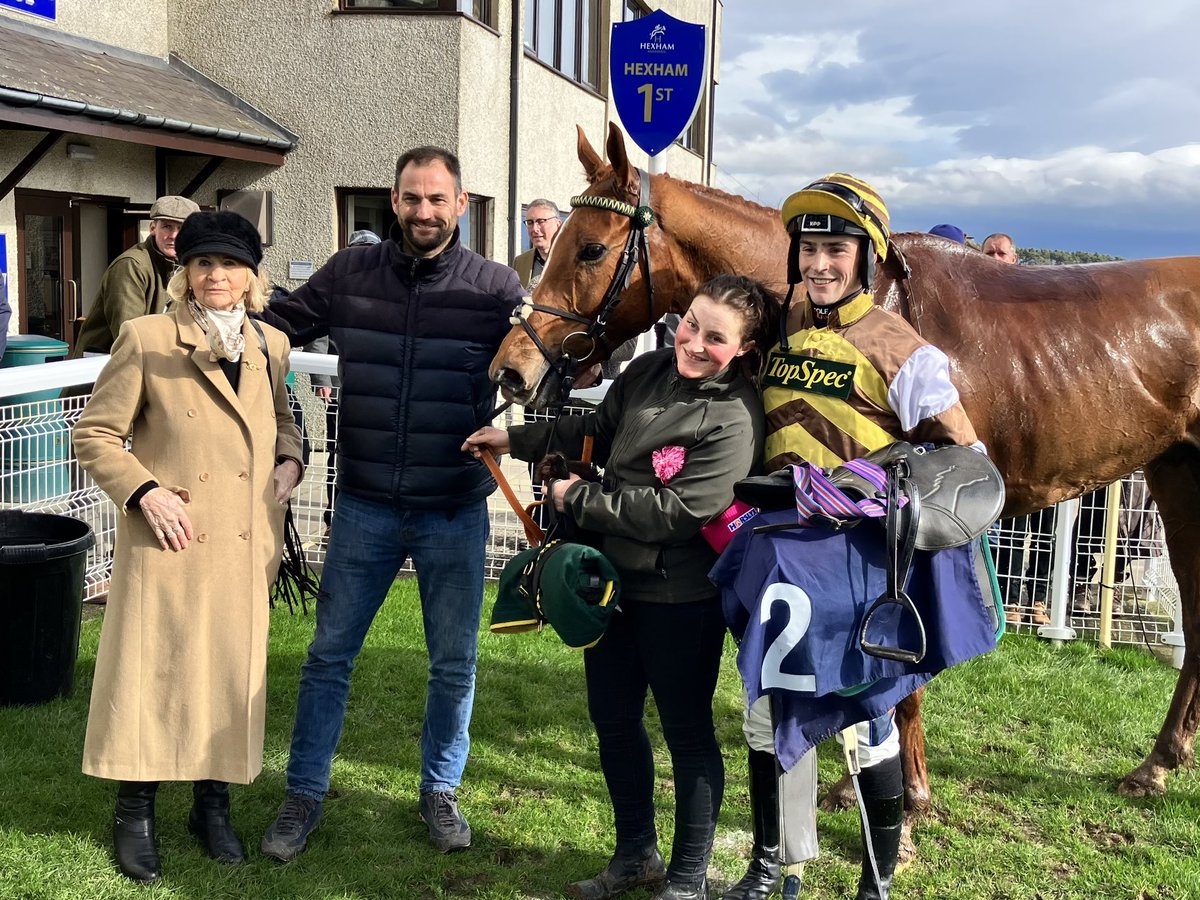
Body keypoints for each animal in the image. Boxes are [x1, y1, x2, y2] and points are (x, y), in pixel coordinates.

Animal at [489, 123, 1200, 830]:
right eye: (554, 245)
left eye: (588, 249)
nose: (511, 370)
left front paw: (906, 803)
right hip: (1176, 475)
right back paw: (1160, 763)